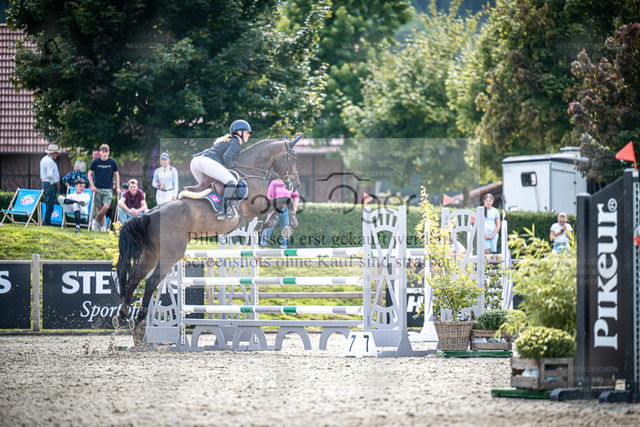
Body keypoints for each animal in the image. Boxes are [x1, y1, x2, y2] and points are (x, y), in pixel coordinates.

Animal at [113, 136, 301, 331]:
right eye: (293, 159)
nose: (296, 184)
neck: (252, 171)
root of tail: (150, 214)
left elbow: (283, 202)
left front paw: (270, 224)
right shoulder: (259, 206)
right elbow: (285, 201)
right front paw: (285, 224)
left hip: (152, 255)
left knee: (135, 279)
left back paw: (122, 314)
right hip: (171, 254)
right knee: (151, 281)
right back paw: (139, 317)